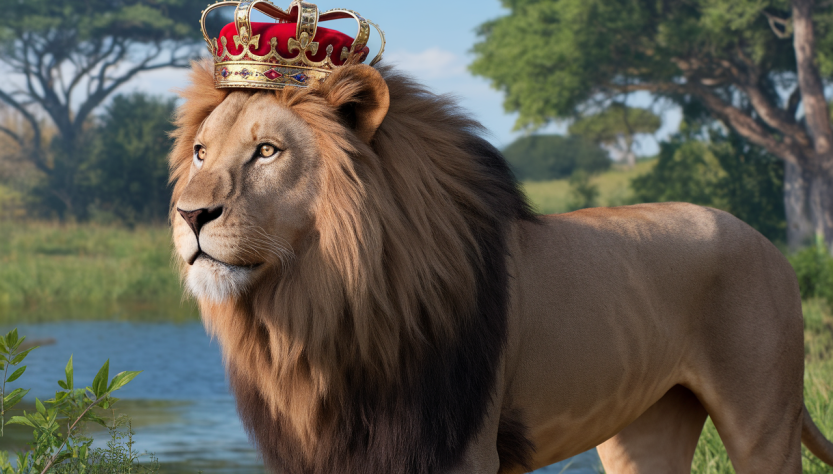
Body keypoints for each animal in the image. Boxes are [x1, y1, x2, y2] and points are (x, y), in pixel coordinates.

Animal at [169, 59, 833, 474]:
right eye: (200, 152)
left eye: (267, 151)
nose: (189, 214)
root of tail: (768, 242)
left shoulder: (460, 447)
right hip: (645, 427)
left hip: (764, 422)